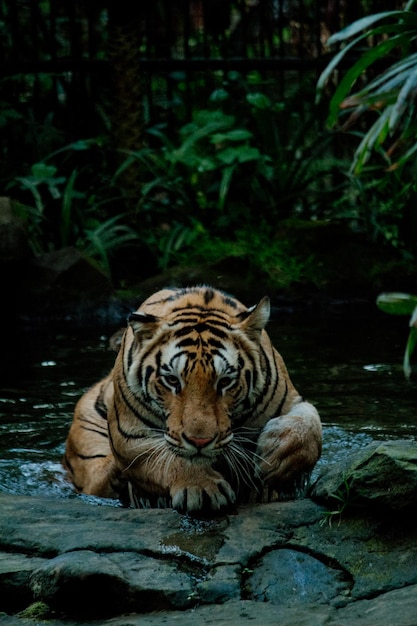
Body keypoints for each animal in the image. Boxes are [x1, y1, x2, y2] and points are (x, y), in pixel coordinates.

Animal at [62, 286, 322, 512]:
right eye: (172, 380)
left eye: (225, 381)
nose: (200, 441)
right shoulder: (128, 437)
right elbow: (167, 458)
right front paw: (202, 488)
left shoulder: (291, 400)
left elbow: (309, 427)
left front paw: (277, 457)